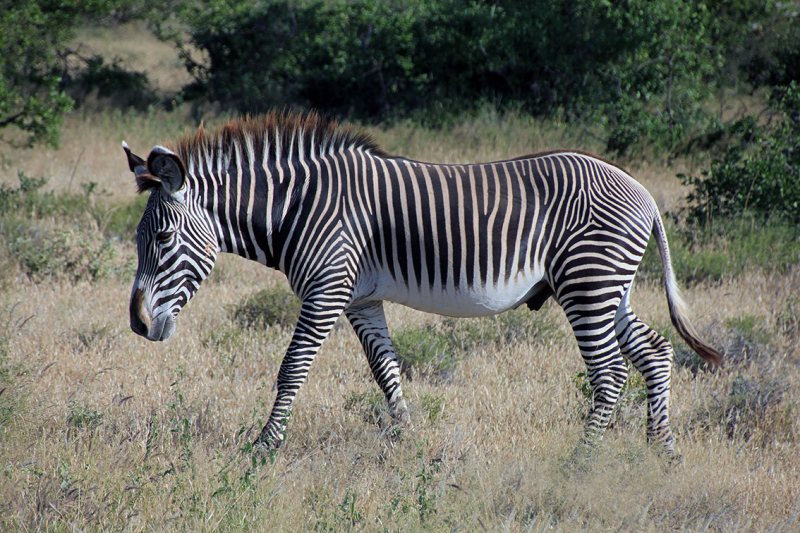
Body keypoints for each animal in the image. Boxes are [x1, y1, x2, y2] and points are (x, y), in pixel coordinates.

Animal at [122, 110, 720, 456]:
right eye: (137, 238)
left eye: (165, 237)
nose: (138, 323)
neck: (298, 208)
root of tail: (642, 192)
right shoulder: (359, 298)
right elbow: (385, 370)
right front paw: (406, 443)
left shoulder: (326, 287)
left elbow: (291, 369)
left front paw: (263, 449)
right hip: (608, 286)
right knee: (656, 352)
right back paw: (661, 451)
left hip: (588, 283)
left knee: (611, 372)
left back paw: (583, 461)